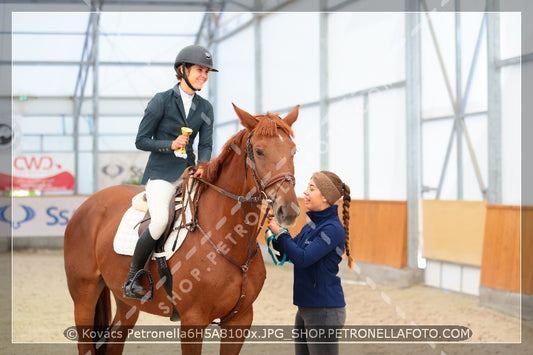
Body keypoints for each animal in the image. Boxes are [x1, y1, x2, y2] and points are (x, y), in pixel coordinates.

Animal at [63, 103, 300, 355]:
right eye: (259, 151)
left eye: (293, 151)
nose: (289, 210)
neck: (227, 241)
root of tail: (89, 203)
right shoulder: (193, 320)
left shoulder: (240, 319)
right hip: (84, 296)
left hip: (126, 303)